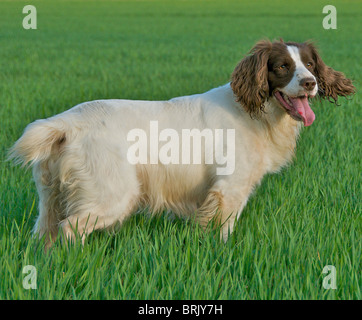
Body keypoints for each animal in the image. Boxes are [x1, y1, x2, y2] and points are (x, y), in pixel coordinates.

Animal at [8, 39, 354, 245]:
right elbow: (223, 232)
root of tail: (68, 122)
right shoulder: (229, 188)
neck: (256, 114)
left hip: (50, 196)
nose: (310, 83)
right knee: (70, 230)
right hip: (113, 194)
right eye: (282, 66)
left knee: (46, 233)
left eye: (310, 64)